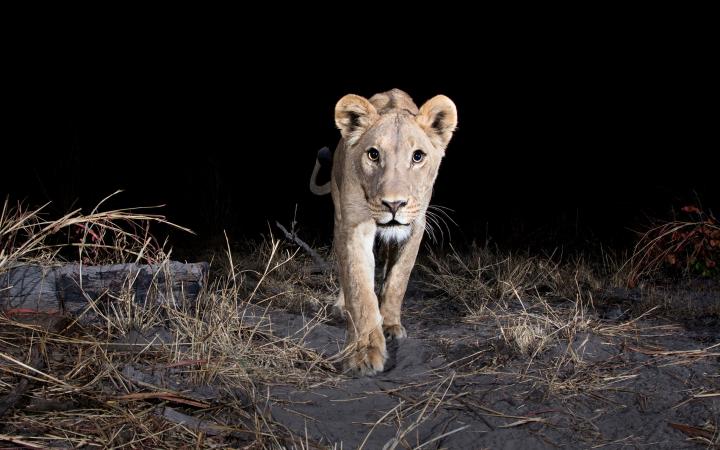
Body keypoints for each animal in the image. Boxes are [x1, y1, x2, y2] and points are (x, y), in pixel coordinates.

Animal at [308, 89, 456, 376]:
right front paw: (364, 352)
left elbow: (398, 278)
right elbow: (359, 288)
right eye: (373, 155)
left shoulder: (417, 224)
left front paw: (389, 325)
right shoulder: (354, 225)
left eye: (418, 156)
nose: (394, 204)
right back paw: (341, 306)